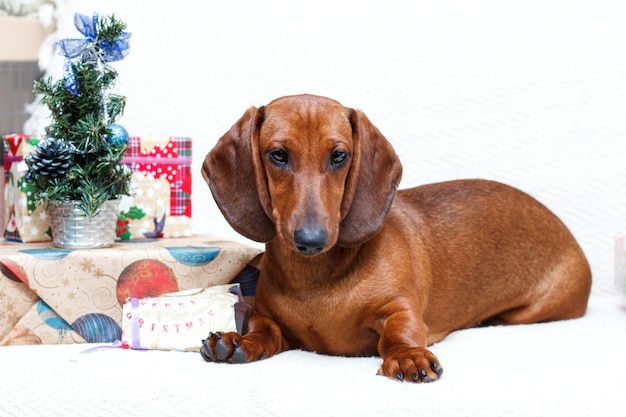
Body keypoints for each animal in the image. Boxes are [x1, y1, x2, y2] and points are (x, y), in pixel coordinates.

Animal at [200, 93, 588, 380]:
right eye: (278, 155)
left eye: (339, 156)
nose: (311, 239)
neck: (314, 279)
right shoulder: (267, 316)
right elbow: (263, 329)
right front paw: (237, 342)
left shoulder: (400, 309)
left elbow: (400, 333)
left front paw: (408, 356)